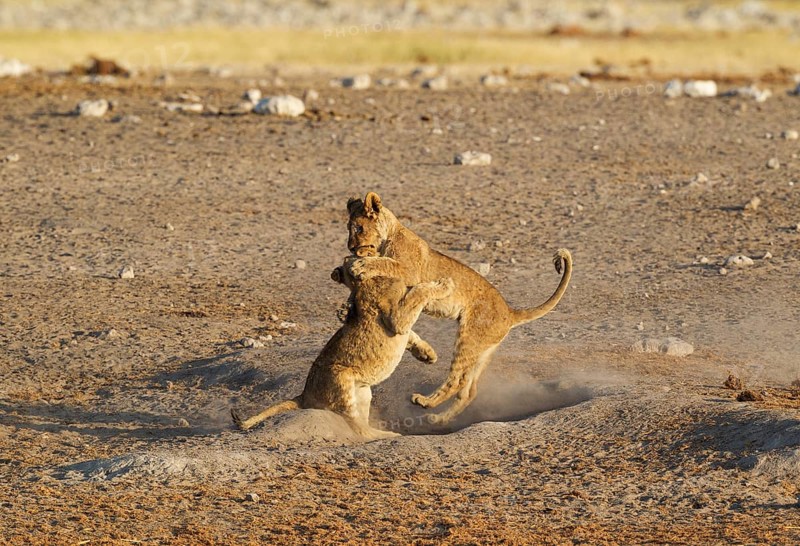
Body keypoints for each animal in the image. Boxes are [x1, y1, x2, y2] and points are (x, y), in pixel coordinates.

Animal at [230, 255, 454, 440]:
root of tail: (304, 395)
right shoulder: (396, 318)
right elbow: (419, 293)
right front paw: (445, 283)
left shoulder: (399, 324)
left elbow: (413, 334)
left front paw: (427, 354)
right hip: (340, 377)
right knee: (359, 429)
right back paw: (388, 435)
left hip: (363, 392)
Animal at [345, 192, 572, 424]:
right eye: (349, 228)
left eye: (358, 228)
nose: (351, 248)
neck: (390, 234)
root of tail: (510, 312)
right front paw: (346, 305)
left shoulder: (410, 272)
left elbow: (386, 263)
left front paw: (361, 266)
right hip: (482, 352)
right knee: (469, 390)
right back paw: (437, 419)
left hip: (469, 338)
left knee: (457, 381)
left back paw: (425, 402)